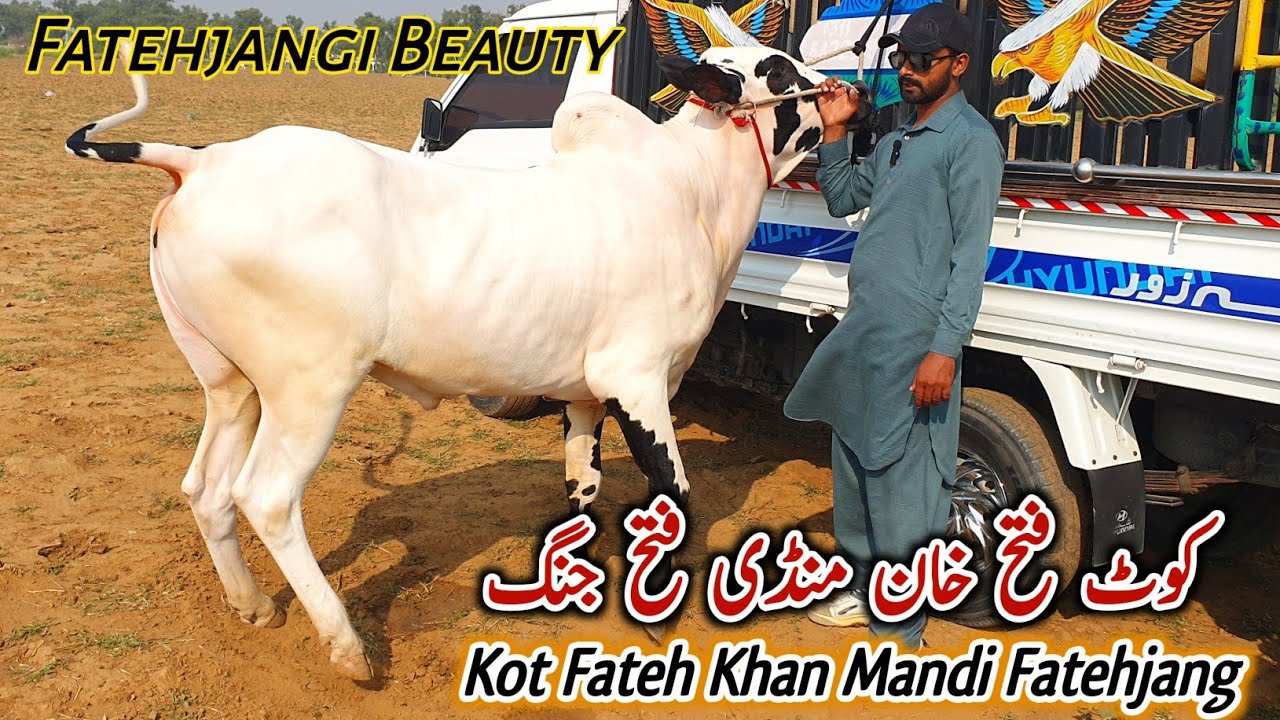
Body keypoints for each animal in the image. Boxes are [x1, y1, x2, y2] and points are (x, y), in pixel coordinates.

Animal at [66, 40, 857, 679]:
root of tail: (208, 159)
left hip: (232, 385)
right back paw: (348, 647)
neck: (691, 192)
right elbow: (674, 495)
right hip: (308, 389)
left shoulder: (584, 396)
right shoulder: (636, 380)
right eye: (779, 70)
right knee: (263, 496)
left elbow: (583, 491)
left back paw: (255, 604)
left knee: (204, 488)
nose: (845, 90)